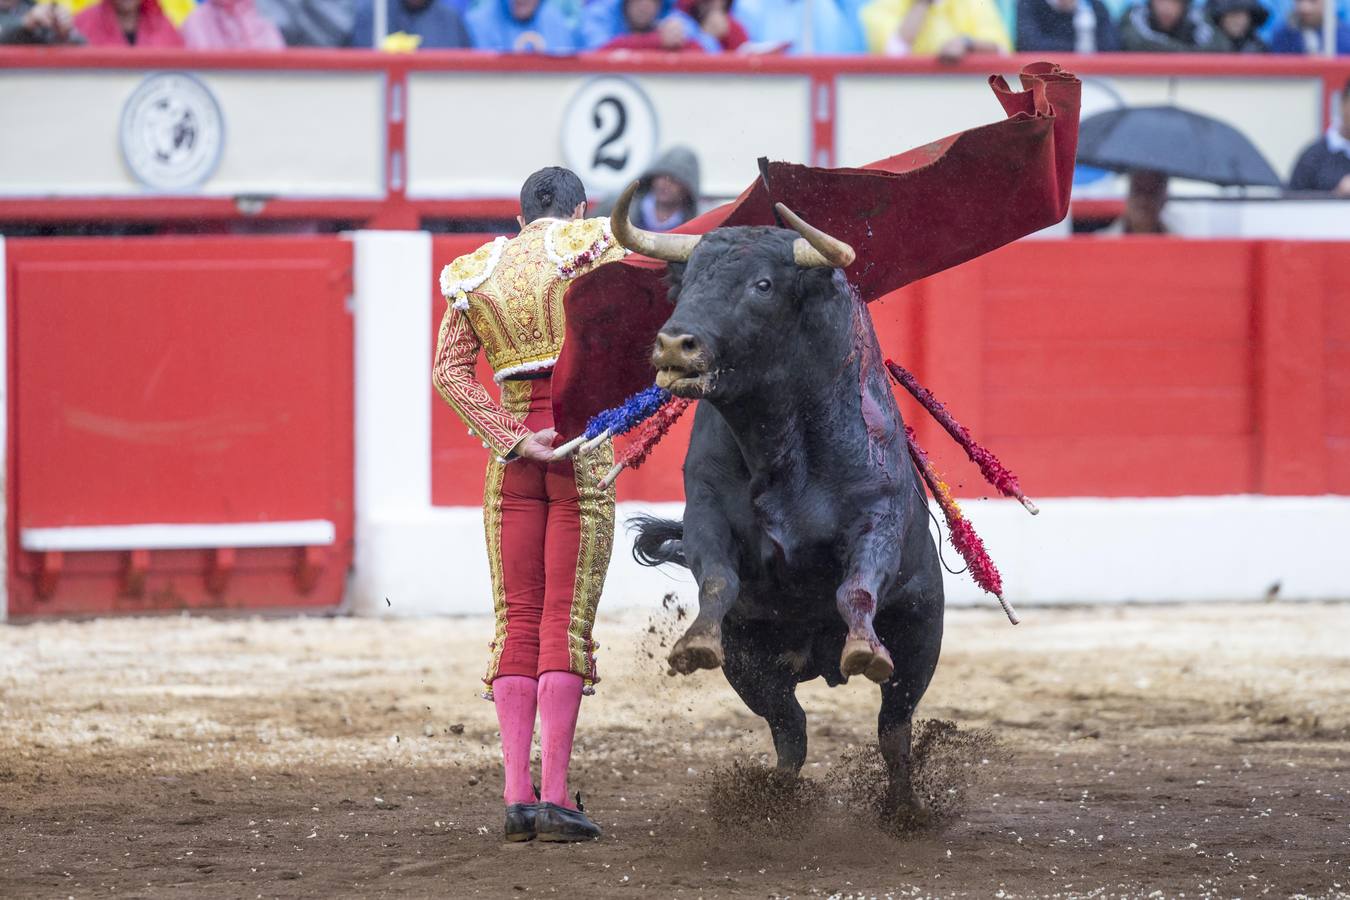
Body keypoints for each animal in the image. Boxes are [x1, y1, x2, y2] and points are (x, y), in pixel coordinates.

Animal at [629, 223, 939, 809]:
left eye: (763, 285)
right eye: (687, 281)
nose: (675, 343)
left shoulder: (878, 512)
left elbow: (856, 586)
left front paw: (863, 646)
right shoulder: (705, 510)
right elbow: (718, 578)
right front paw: (696, 642)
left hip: (920, 638)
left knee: (893, 728)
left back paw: (905, 807)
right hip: (753, 668)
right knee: (789, 729)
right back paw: (775, 800)